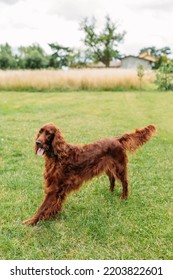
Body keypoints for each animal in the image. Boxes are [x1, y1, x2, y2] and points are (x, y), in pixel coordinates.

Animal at [22, 122, 156, 225]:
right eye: (40, 132)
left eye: (48, 133)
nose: (37, 142)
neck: (57, 156)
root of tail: (117, 139)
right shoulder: (58, 188)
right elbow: (54, 204)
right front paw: (51, 215)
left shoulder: (54, 187)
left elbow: (42, 207)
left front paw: (31, 221)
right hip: (107, 167)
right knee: (112, 179)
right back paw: (110, 192)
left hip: (119, 167)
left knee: (125, 182)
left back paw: (124, 197)